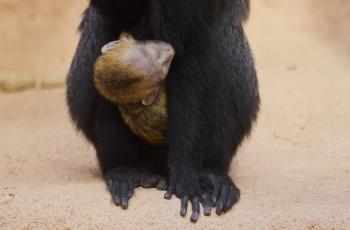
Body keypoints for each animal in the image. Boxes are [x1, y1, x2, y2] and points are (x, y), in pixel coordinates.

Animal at [67, 0, 260, 223]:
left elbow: (193, 52)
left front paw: (185, 174)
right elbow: (121, 16)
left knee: (214, 42)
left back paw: (211, 173)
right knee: (101, 27)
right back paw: (124, 169)